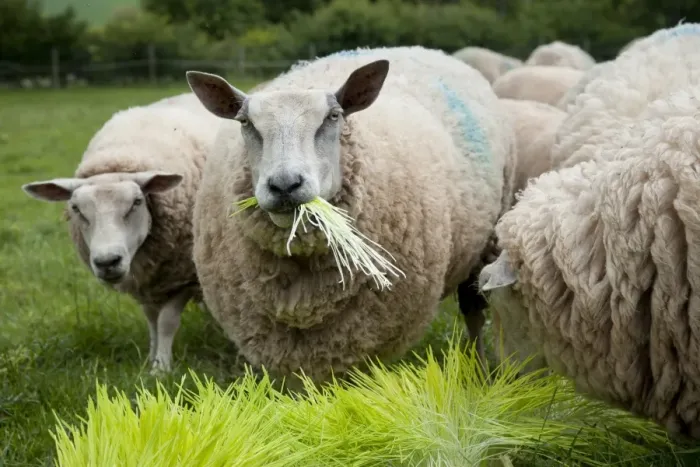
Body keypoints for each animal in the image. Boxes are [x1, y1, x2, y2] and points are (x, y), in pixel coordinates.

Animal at [21, 93, 221, 374]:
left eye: (136, 202)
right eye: (76, 208)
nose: (107, 262)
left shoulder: (182, 276)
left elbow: (167, 321)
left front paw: (161, 368)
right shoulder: (145, 282)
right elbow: (152, 321)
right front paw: (151, 358)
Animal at [185, 45, 517, 386]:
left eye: (333, 117)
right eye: (245, 122)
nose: (285, 185)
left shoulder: (365, 333)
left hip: (483, 245)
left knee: (473, 311)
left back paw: (479, 370)